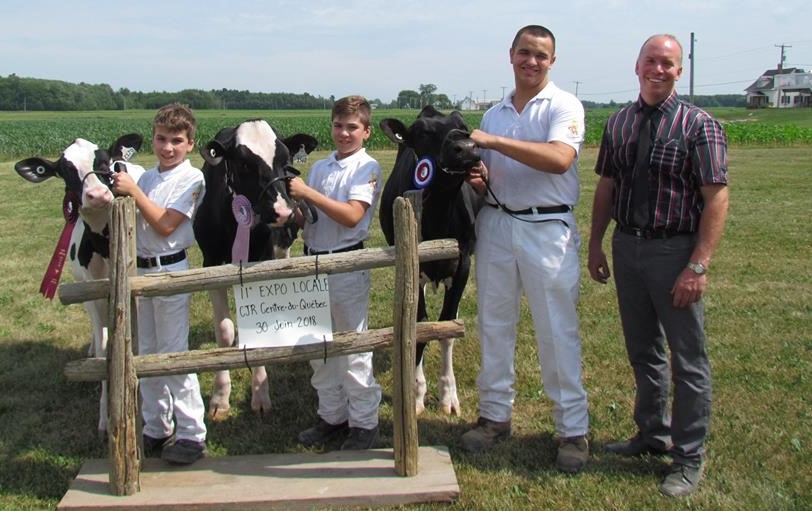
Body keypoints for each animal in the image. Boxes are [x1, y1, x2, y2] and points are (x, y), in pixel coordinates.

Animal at [15, 134, 144, 434]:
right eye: (65, 171)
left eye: (104, 161)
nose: (97, 195)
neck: (106, 247)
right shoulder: (93, 297)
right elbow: (105, 352)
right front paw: (106, 417)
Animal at [193, 119, 318, 420]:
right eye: (243, 163)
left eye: (285, 161)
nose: (283, 211)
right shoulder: (210, 263)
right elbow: (224, 331)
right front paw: (220, 398)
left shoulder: (262, 259)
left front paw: (261, 394)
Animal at [380, 105, 486, 416]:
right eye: (423, 132)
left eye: (464, 125)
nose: (466, 148)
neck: (439, 210)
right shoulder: (411, 266)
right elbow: (419, 324)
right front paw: (416, 393)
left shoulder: (463, 264)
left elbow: (447, 327)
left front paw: (448, 395)